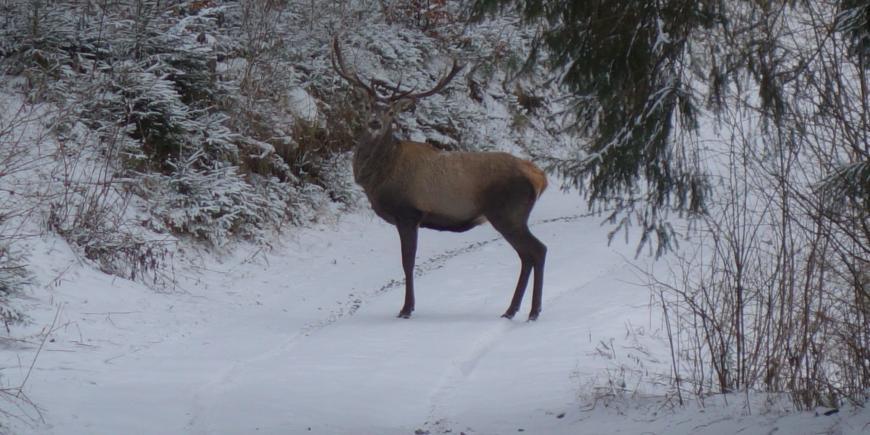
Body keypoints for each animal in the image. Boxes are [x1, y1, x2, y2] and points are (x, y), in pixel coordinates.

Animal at [332, 38, 548, 321]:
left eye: (390, 112)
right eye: (369, 107)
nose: (375, 123)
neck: (379, 177)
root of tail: (540, 177)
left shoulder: (408, 213)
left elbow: (407, 262)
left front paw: (406, 308)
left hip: (508, 212)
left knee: (537, 250)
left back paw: (531, 311)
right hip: (512, 216)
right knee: (528, 255)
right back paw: (513, 310)